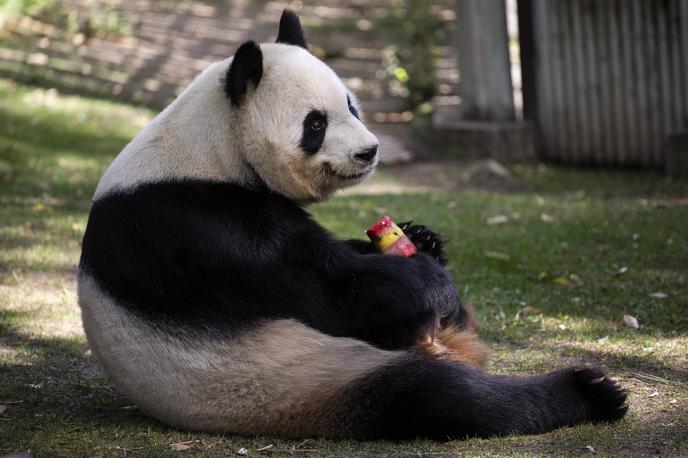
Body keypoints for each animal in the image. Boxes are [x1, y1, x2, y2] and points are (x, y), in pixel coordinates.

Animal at [78, 9, 628, 440]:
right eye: (315, 123)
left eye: (350, 104)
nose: (370, 151)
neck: (212, 146)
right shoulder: (201, 228)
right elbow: (333, 291)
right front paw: (432, 279)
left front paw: (421, 239)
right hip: (300, 378)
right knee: (437, 397)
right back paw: (591, 392)